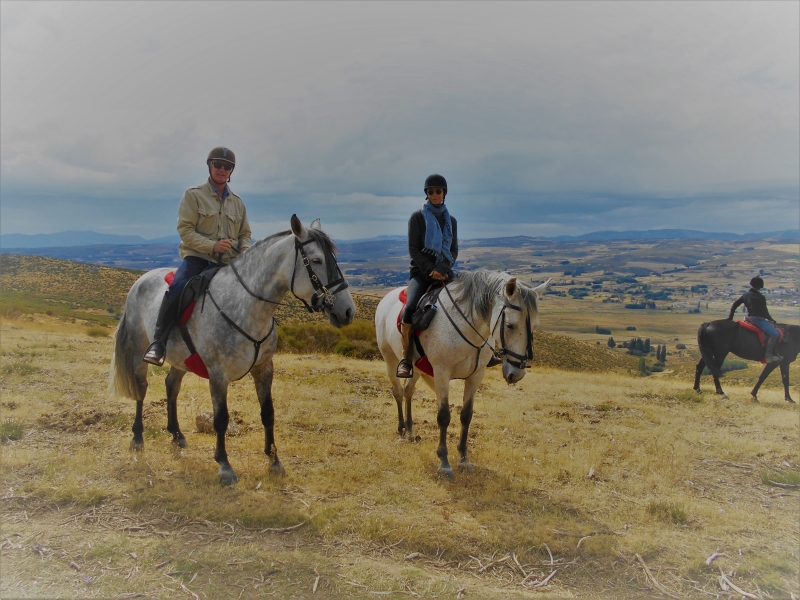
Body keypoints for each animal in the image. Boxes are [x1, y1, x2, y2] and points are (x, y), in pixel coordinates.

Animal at [108, 216, 354, 482]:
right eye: (317, 260)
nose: (348, 311)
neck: (247, 307)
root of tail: (141, 280)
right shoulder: (218, 375)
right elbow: (221, 419)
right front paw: (224, 465)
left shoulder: (264, 369)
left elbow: (268, 413)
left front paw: (274, 460)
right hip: (139, 351)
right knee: (141, 389)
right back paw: (137, 438)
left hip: (181, 359)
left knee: (171, 386)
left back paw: (177, 435)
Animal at [376, 272, 552, 478]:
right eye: (510, 325)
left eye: (535, 325)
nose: (517, 373)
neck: (467, 328)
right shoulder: (442, 374)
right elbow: (444, 416)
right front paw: (444, 462)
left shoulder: (476, 375)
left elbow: (466, 415)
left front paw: (463, 459)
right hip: (390, 359)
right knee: (397, 391)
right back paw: (402, 430)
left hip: (417, 369)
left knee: (408, 392)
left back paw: (411, 432)